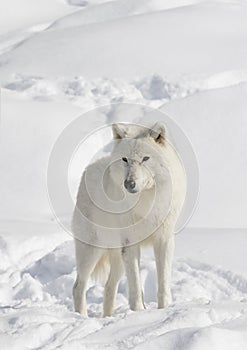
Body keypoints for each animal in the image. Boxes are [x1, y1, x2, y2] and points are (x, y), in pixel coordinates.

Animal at [72, 121, 186, 316]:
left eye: (145, 159)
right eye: (125, 159)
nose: (129, 183)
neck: (146, 203)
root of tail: (89, 168)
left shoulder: (164, 239)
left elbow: (163, 282)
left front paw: (164, 309)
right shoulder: (130, 243)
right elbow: (135, 285)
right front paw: (139, 312)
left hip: (117, 258)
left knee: (109, 287)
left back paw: (107, 318)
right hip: (91, 251)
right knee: (78, 286)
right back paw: (82, 317)